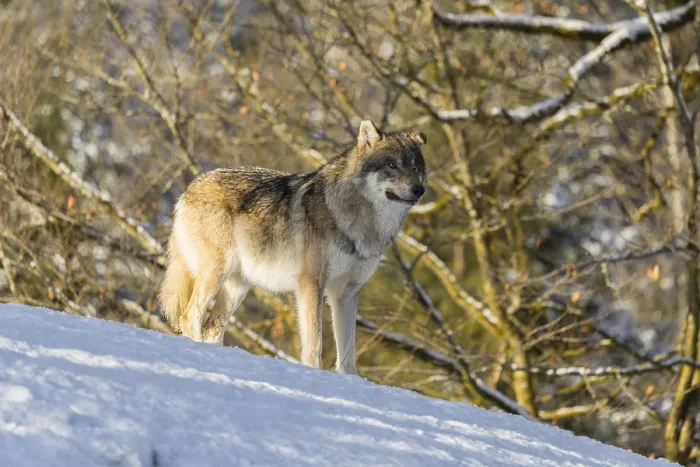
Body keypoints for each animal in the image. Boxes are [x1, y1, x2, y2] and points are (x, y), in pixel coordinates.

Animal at [159, 120, 427, 374]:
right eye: (392, 165)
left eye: (415, 167)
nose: (420, 190)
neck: (359, 219)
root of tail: (190, 188)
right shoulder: (311, 284)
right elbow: (314, 343)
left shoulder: (347, 293)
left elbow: (348, 355)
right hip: (215, 274)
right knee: (189, 316)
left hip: (237, 287)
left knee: (212, 327)